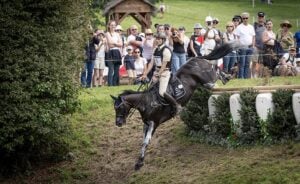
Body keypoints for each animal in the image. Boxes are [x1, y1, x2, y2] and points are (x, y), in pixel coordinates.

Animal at [111, 42, 236, 170]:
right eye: (115, 108)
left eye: (120, 107)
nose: (118, 123)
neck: (146, 101)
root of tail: (196, 58)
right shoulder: (146, 124)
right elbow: (143, 142)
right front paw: (139, 162)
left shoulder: (153, 123)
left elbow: (146, 141)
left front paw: (139, 162)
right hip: (206, 83)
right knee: (215, 69)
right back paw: (227, 75)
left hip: (208, 81)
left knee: (215, 71)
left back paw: (228, 75)